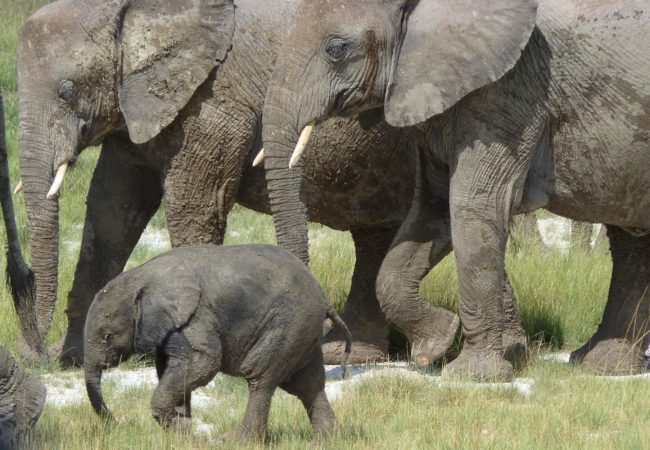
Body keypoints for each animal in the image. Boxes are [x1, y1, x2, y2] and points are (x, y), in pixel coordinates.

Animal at [15, 0, 468, 368]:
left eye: (67, 92)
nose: (34, 355)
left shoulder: (213, 101)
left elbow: (192, 206)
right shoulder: (137, 107)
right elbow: (112, 210)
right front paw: (74, 358)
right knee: (374, 236)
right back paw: (348, 354)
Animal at [86, 244, 352, 442]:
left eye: (108, 336)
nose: (117, 423)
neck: (141, 277)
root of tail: (324, 297)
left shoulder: (196, 316)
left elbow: (203, 363)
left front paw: (181, 429)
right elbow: (172, 369)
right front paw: (181, 431)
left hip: (288, 323)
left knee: (261, 378)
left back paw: (237, 441)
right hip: (304, 331)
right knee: (308, 384)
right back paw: (325, 440)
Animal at [260, 0, 648, 380]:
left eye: (336, 49)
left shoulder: (509, 94)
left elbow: (472, 206)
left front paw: (472, 375)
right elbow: (432, 212)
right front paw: (436, 344)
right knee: (632, 241)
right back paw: (602, 365)